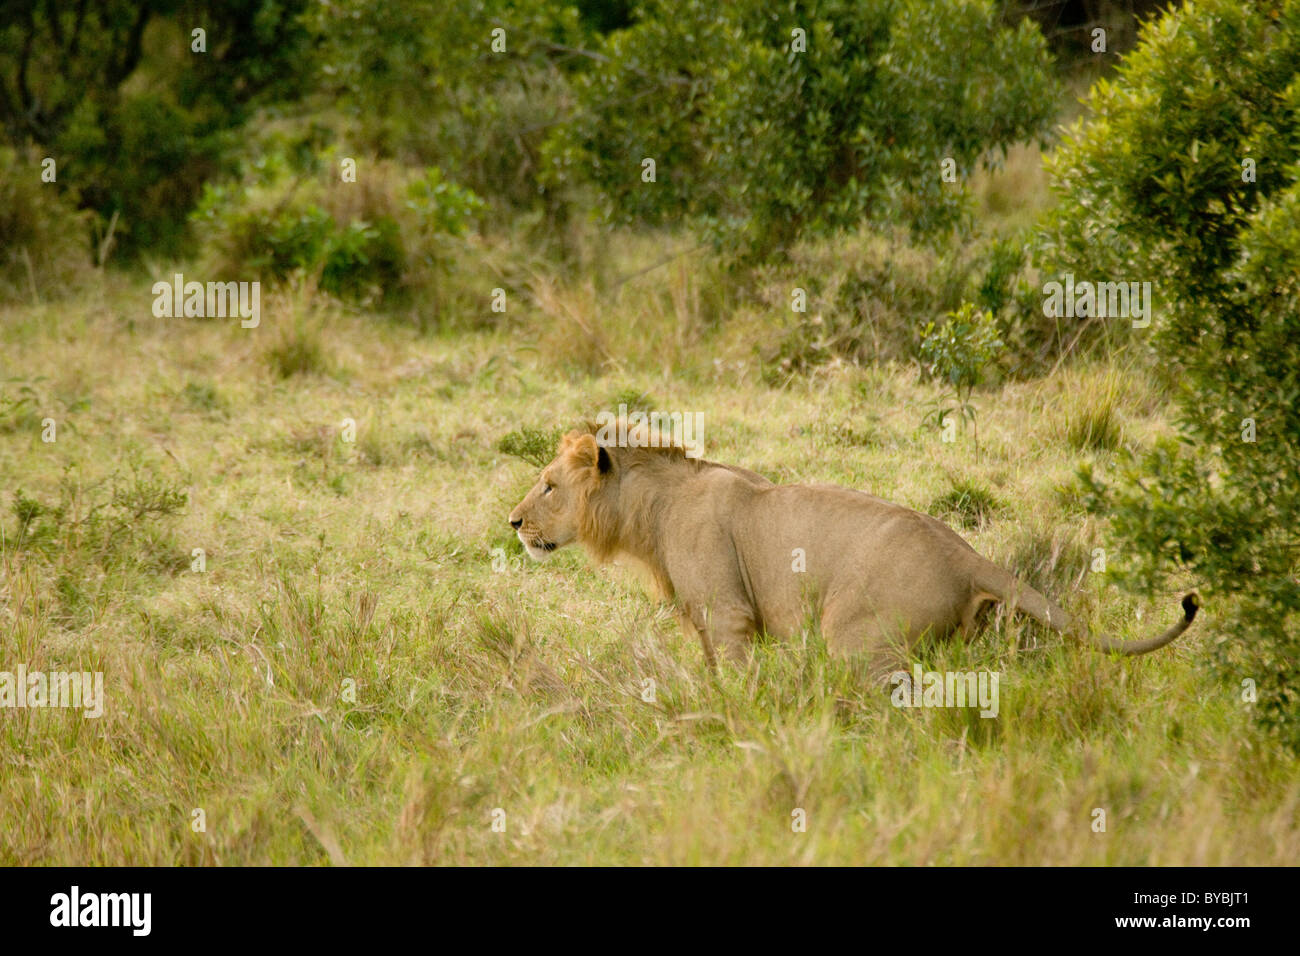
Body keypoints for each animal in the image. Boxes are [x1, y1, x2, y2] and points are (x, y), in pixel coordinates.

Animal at [508, 424, 1198, 678]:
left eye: (549, 485)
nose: (513, 523)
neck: (650, 513)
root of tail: (967, 554)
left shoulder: (729, 616)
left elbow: (734, 679)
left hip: (856, 637)